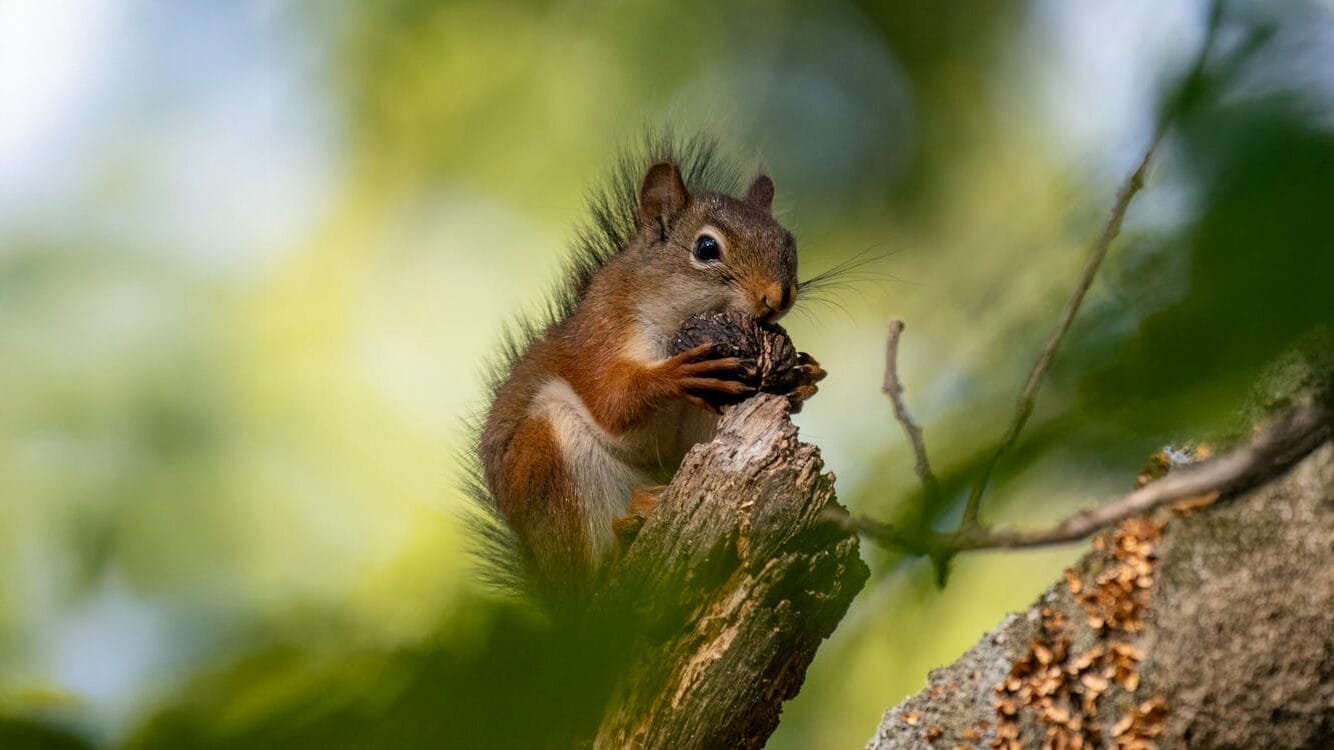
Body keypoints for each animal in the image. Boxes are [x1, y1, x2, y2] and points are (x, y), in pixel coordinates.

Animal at [467, 137, 825, 606]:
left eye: (789, 243)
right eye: (706, 248)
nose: (778, 296)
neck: (674, 318)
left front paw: (803, 376)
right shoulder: (599, 338)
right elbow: (611, 401)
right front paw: (676, 375)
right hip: (546, 461)